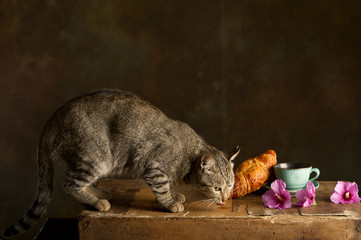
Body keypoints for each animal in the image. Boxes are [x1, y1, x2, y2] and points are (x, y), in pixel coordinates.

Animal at [3, 89, 239, 237]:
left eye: (230, 185)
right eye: (217, 188)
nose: (225, 198)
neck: (188, 157)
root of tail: (55, 116)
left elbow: (168, 186)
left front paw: (175, 195)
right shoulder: (154, 168)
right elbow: (162, 189)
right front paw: (170, 203)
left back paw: (97, 194)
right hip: (95, 158)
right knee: (69, 184)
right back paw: (97, 202)